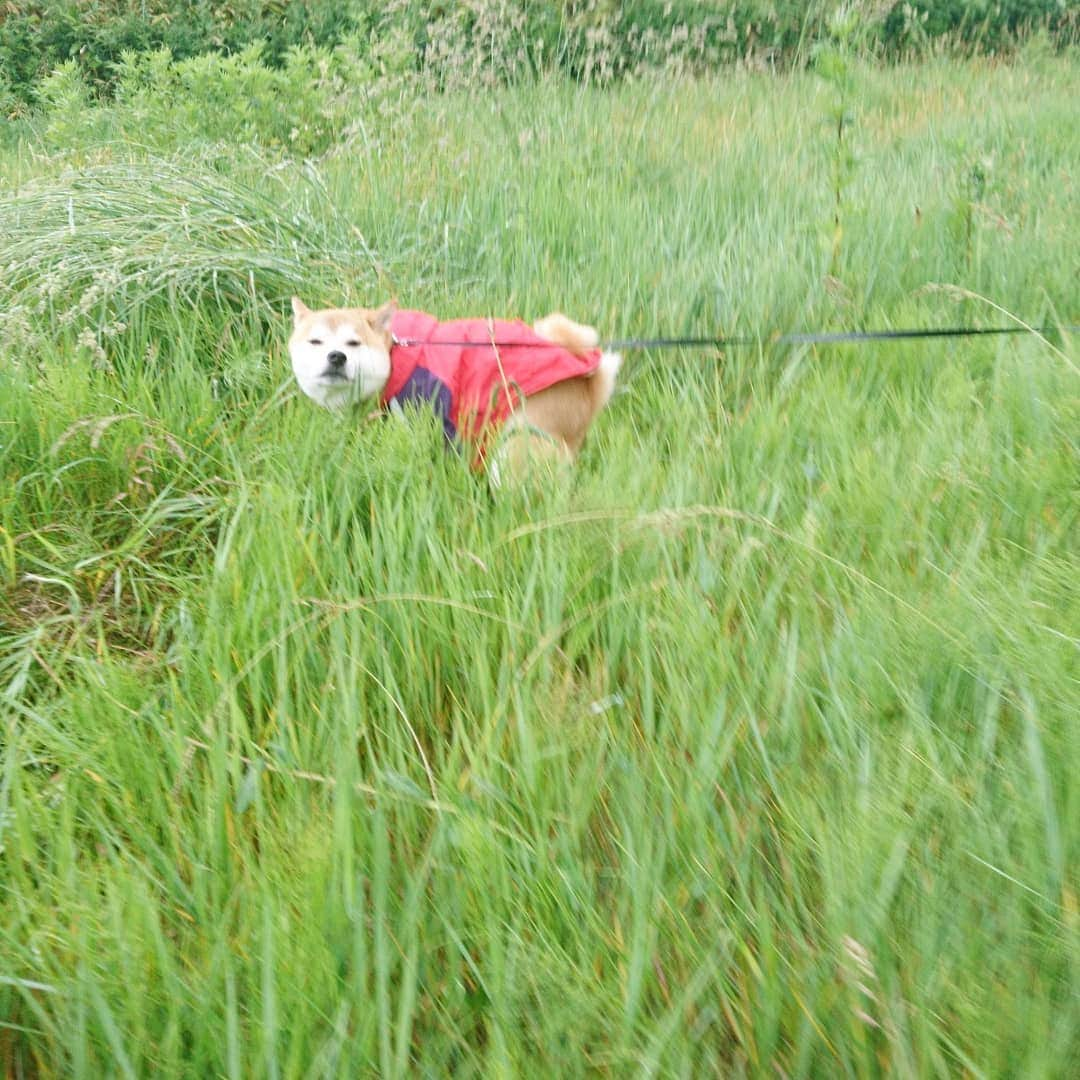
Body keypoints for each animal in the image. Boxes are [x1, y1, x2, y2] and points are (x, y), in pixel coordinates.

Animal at [289, 298, 626, 479]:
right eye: (315, 341)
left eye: (354, 343)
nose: (336, 356)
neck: (396, 356)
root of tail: (588, 386)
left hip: (517, 447)